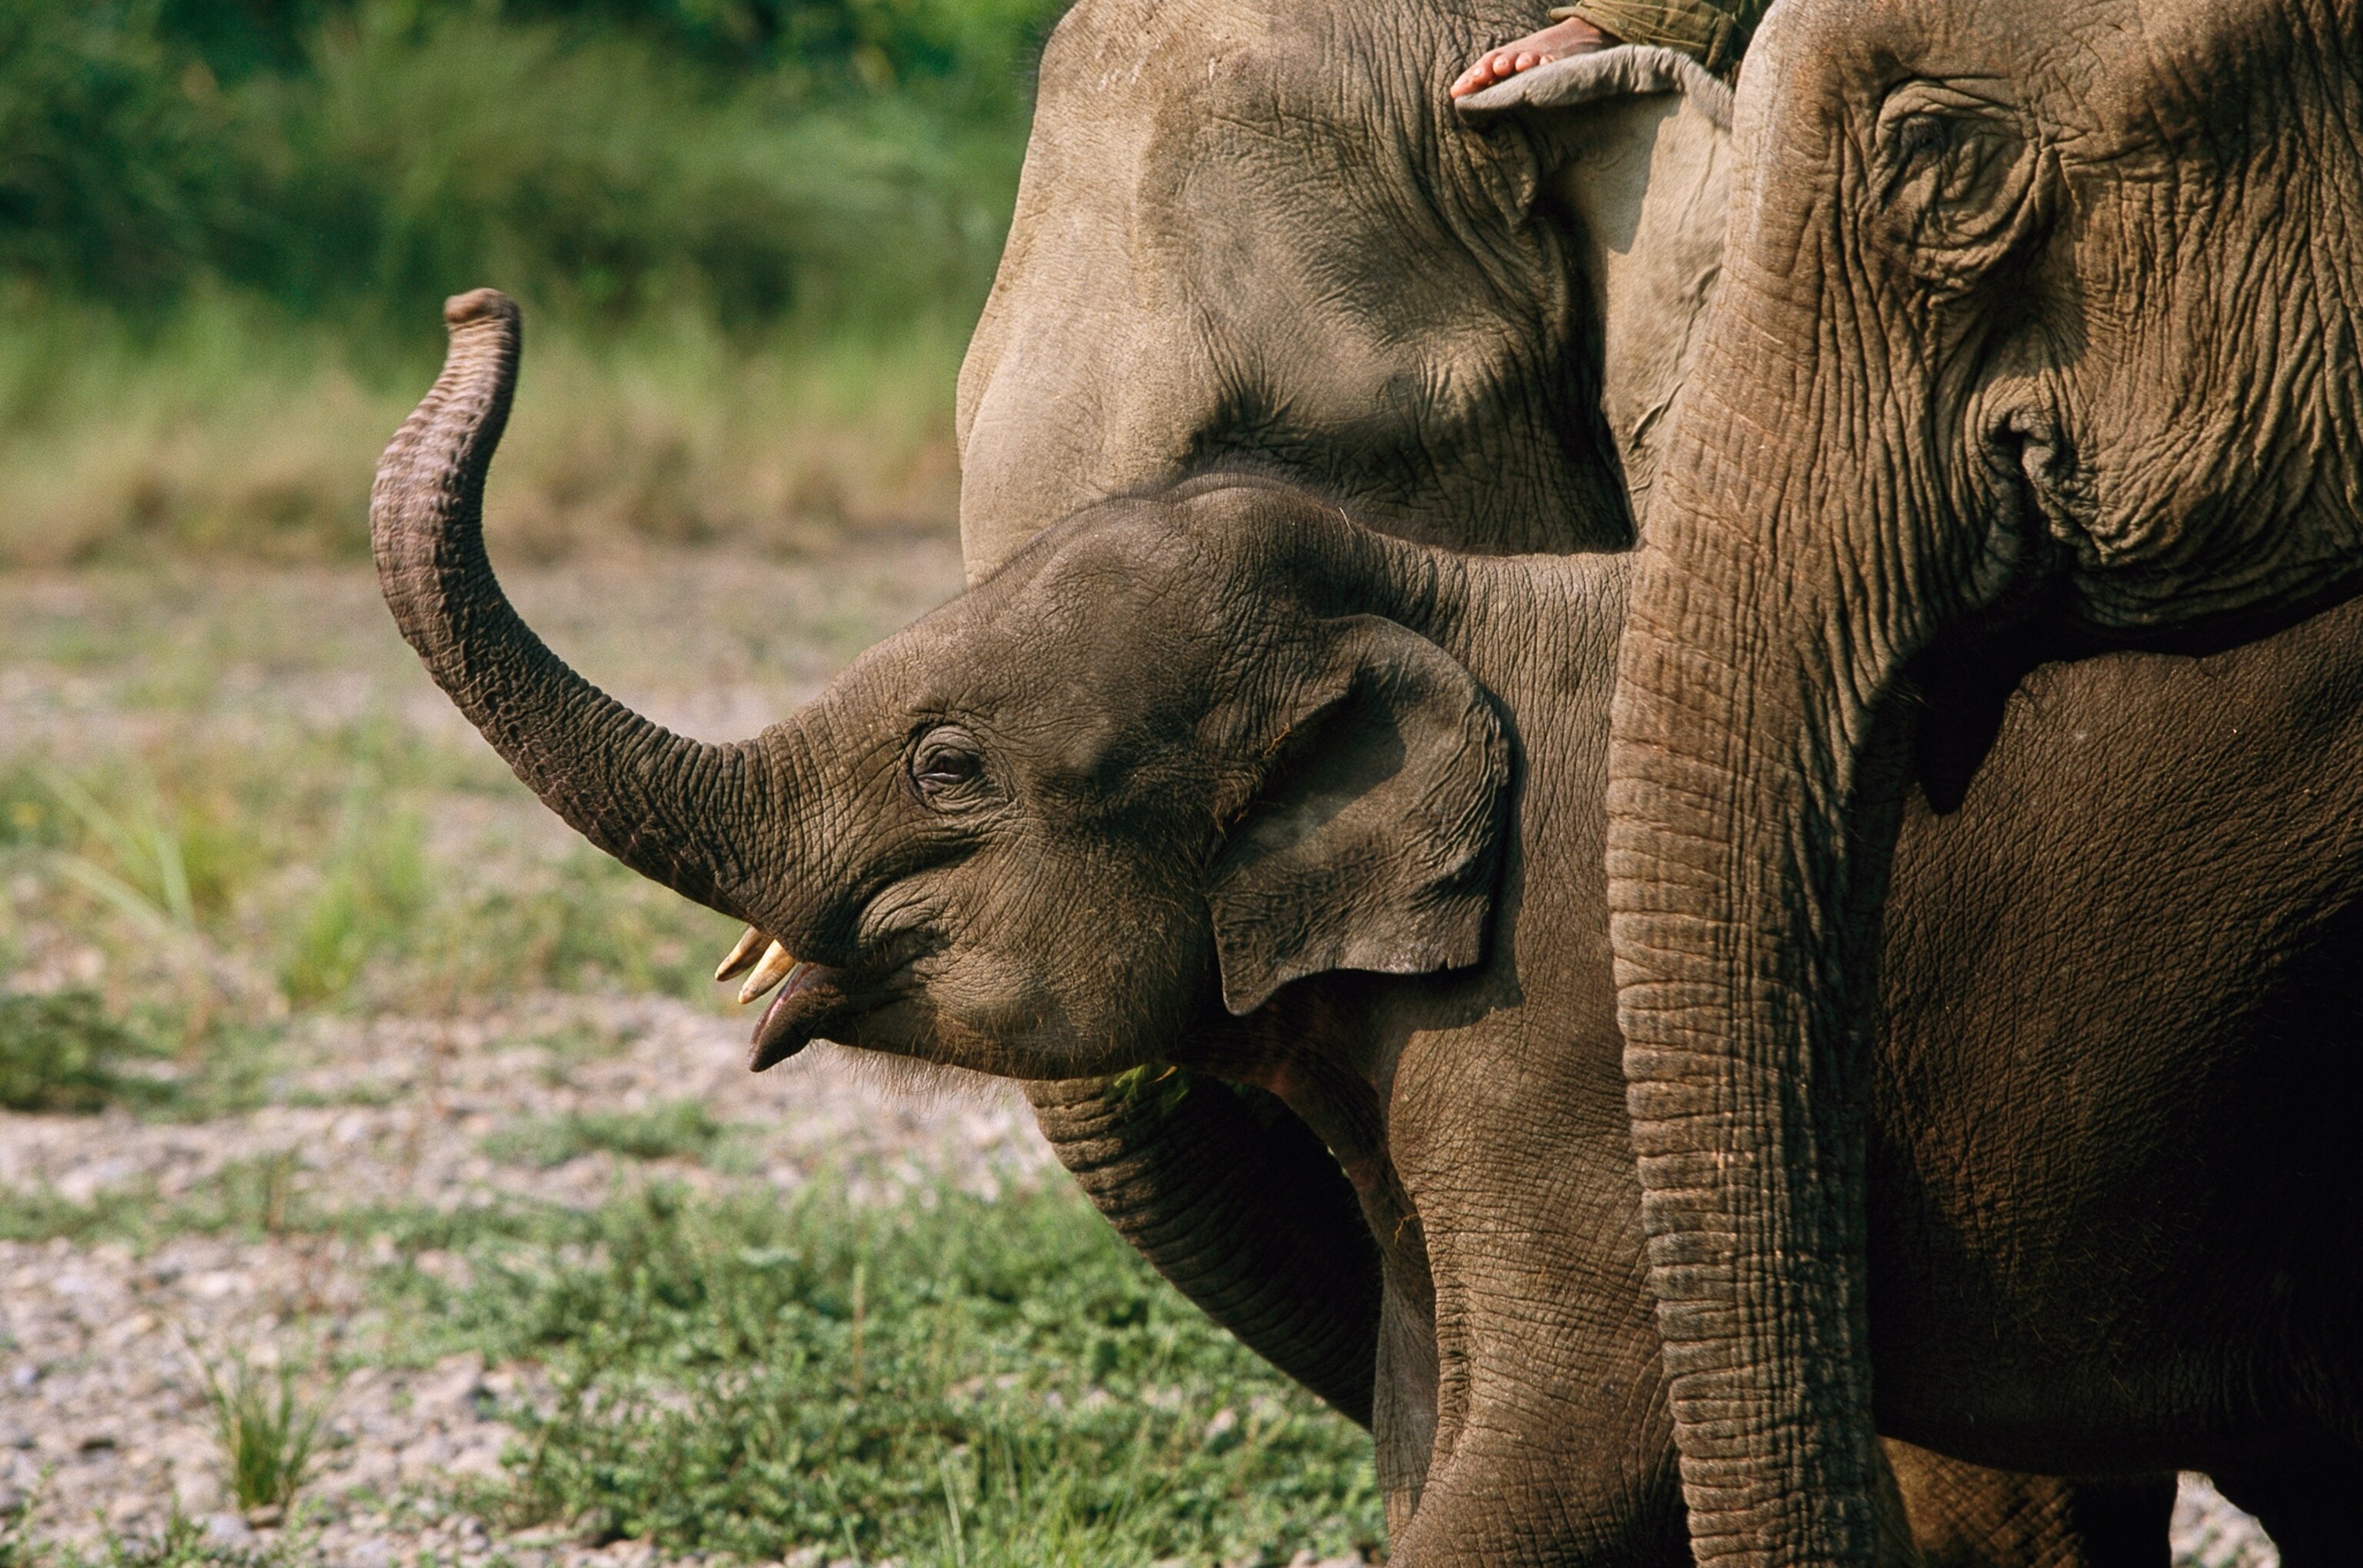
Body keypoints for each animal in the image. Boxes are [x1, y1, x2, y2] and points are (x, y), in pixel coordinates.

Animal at [369, 292, 2245, 1563]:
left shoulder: (1574, 1029)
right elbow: (1434, 1396)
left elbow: (1580, 1424)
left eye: (950, 764)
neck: (1427, 592)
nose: (478, 306)